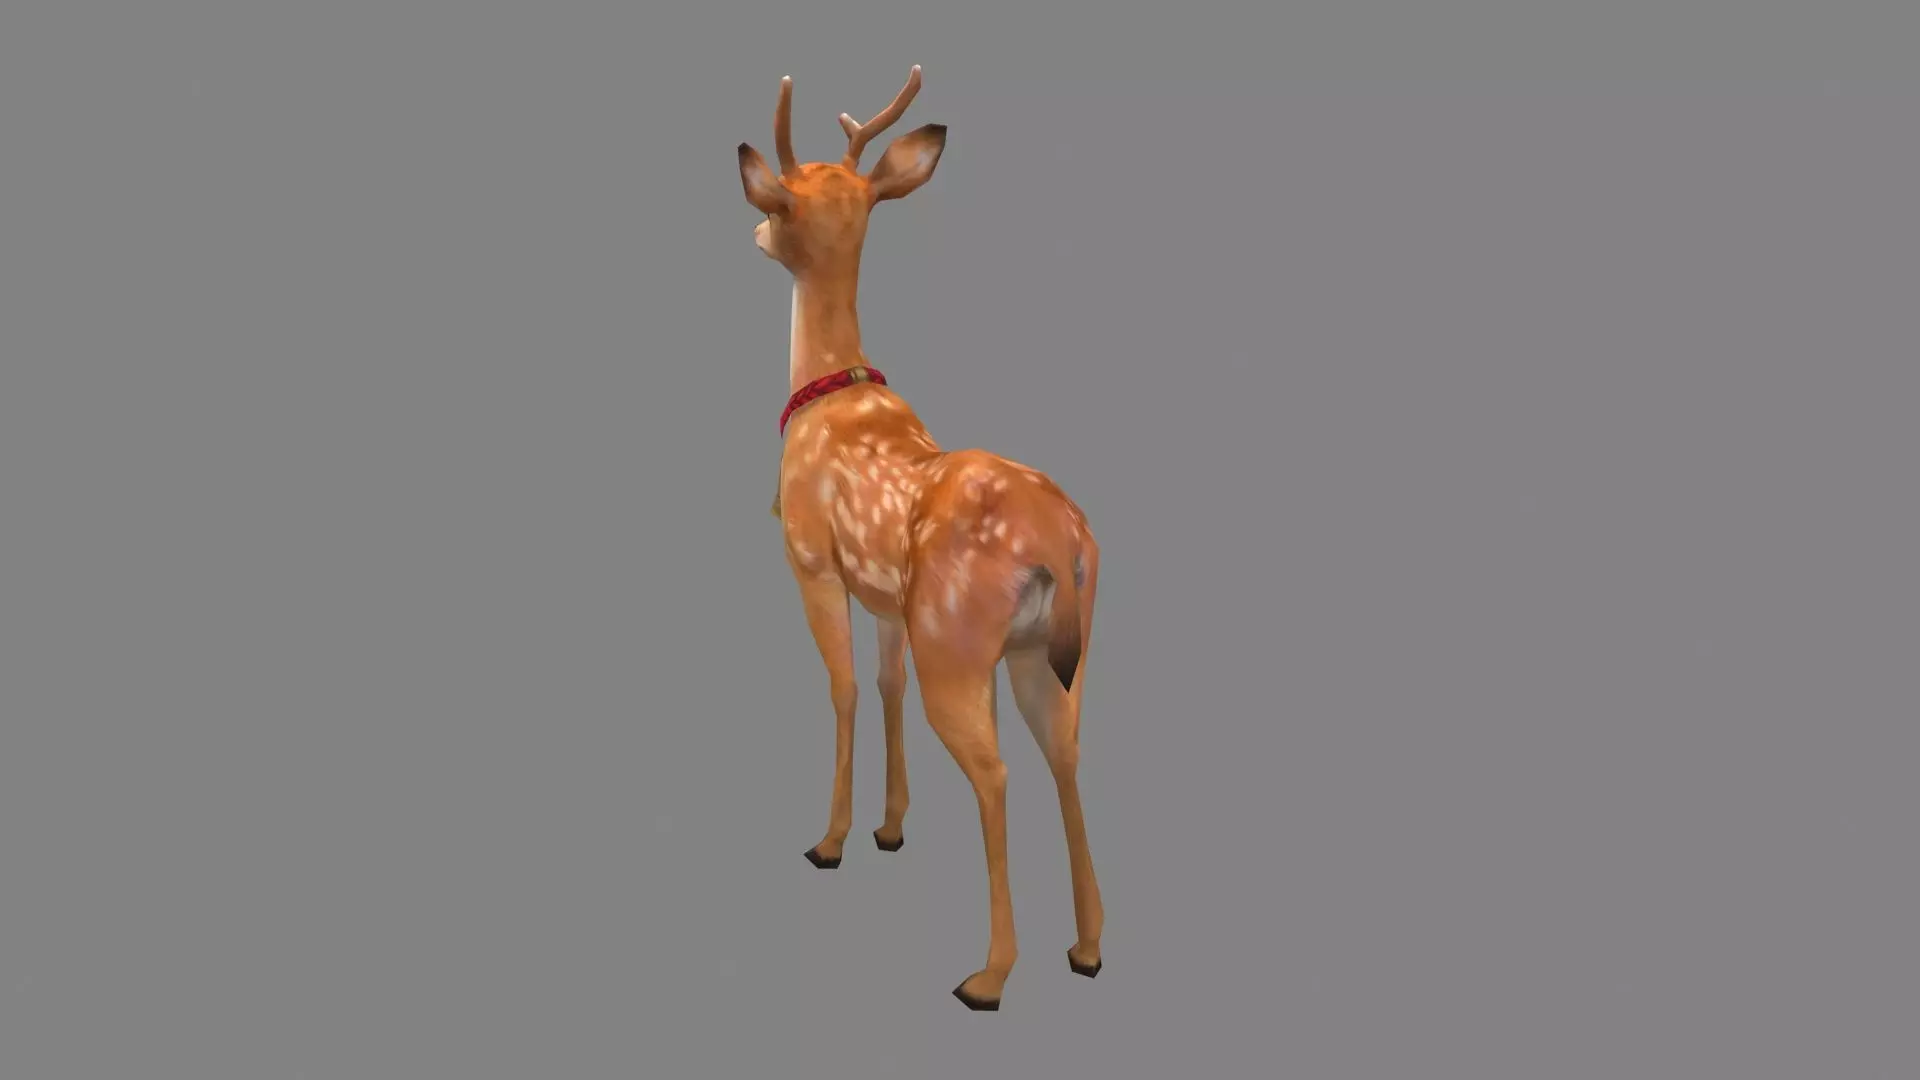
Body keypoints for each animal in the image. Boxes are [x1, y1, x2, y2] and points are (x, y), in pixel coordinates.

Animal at [736, 65, 1105, 1011]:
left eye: (783, 198)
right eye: (819, 184)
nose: (756, 230)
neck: (829, 394)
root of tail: (1060, 545)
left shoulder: (812, 562)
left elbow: (843, 690)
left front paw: (831, 839)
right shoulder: (887, 601)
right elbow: (884, 684)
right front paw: (890, 828)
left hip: (960, 642)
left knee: (997, 773)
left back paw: (989, 976)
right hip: (1052, 653)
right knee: (1066, 754)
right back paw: (1087, 949)